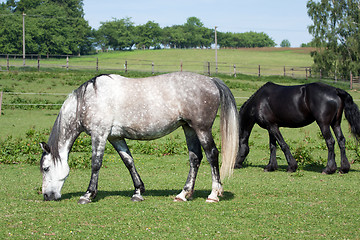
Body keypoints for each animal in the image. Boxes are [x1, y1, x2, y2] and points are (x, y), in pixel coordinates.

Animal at [39, 72, 239, 203]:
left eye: (46, 168)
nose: (47, 196)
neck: (89, 99)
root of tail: (211, 80)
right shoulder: (115, 137)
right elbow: (129, 161)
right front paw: (138, 191)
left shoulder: (99, 134)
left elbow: (96, 163)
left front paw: (88, 195)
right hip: (189, 128)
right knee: (195, 158)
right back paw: (183, 194)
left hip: (202, 128)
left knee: (212, 154)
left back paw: (213, 194)